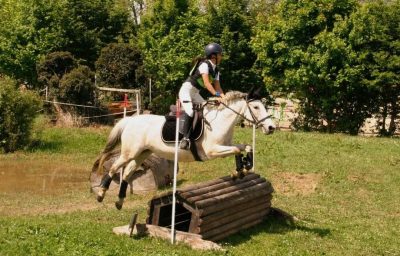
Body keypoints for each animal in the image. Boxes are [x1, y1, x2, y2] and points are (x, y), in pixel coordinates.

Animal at [94, 90, 276, 210]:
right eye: (256, 107)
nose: (271, 127)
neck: (221, 121)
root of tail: (129, 121)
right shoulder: (212, 151)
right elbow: (237, 150)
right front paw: (240, 171)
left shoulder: (226, 146)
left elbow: (245, 147)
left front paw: (242, 170)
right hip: (129, 153)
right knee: (114, 168)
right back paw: (101, 193)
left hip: (142, 153)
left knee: (126, 173)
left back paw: (119, 202)